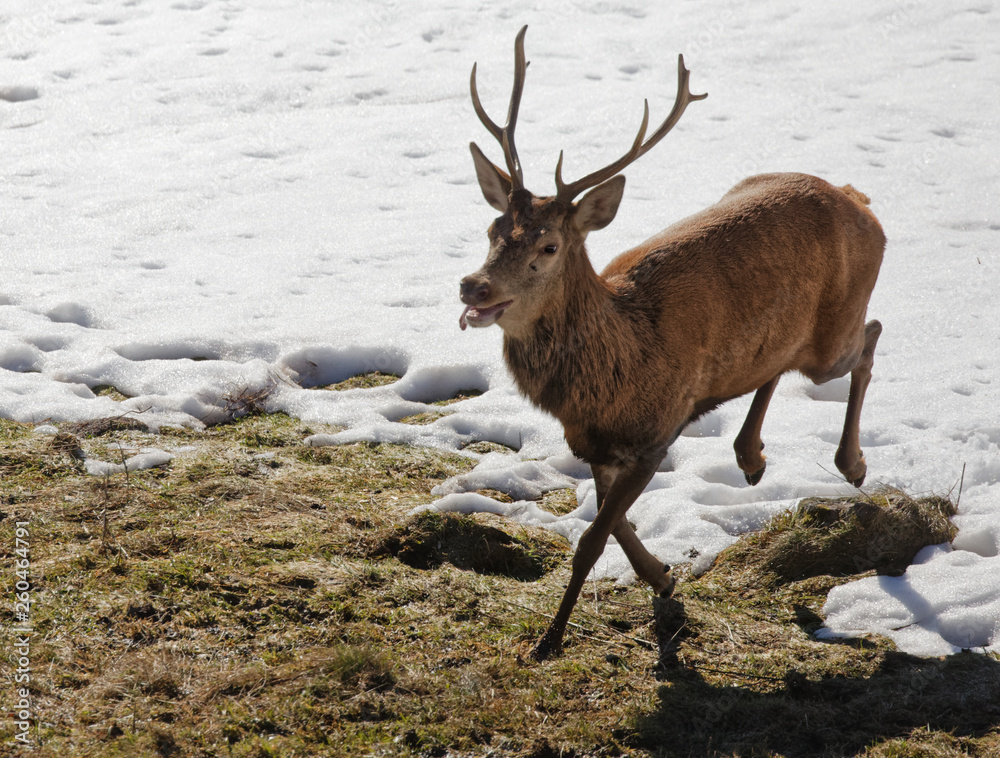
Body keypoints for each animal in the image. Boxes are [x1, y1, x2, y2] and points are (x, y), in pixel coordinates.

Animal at [458, 26, 884, 661]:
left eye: (549, 246)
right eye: (491, 230)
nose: (473, 285)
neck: (613, 372)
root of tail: (859, 198)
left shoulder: (656, 433)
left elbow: (592, 540)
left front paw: (550, 639)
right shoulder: (594, 444)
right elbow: (614, 527)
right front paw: (663, 580)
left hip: (834, 336)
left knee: (871, 336)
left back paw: (851, 464)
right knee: (778, 362)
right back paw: (751, 457)